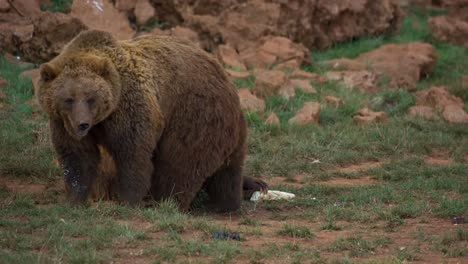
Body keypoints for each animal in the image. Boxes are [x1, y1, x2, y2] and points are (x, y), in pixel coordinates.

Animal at [38, 28, 266, 211]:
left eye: (91, 98)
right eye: (68, 99)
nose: (82, 124)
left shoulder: (129, 107)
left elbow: (132, 152)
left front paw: (129, 200)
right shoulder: (63, 123)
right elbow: (78, 157)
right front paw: (75, 199)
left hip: (195, 114)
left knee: (181, 162)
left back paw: (168, 202)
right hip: (227, 129)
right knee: (228, 171)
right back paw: (225, 203)